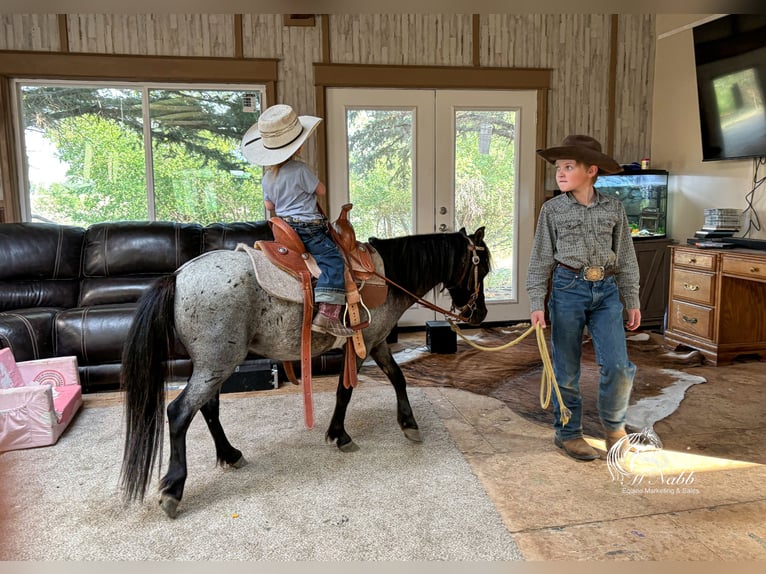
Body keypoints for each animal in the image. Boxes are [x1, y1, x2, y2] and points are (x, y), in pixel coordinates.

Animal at [120, 227, 492, 520]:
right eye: (483, 268)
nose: (479, 314)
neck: (385, 275)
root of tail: (179, 275)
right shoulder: (364, 345)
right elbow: (346, 391)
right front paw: (340, 435)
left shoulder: (377, 343)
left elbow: (398, 378)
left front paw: (408, 423)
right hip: (217, 362)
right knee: (179, 412)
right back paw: (173, 489)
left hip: (216, 364)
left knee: (208, 407)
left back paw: (231, 454)